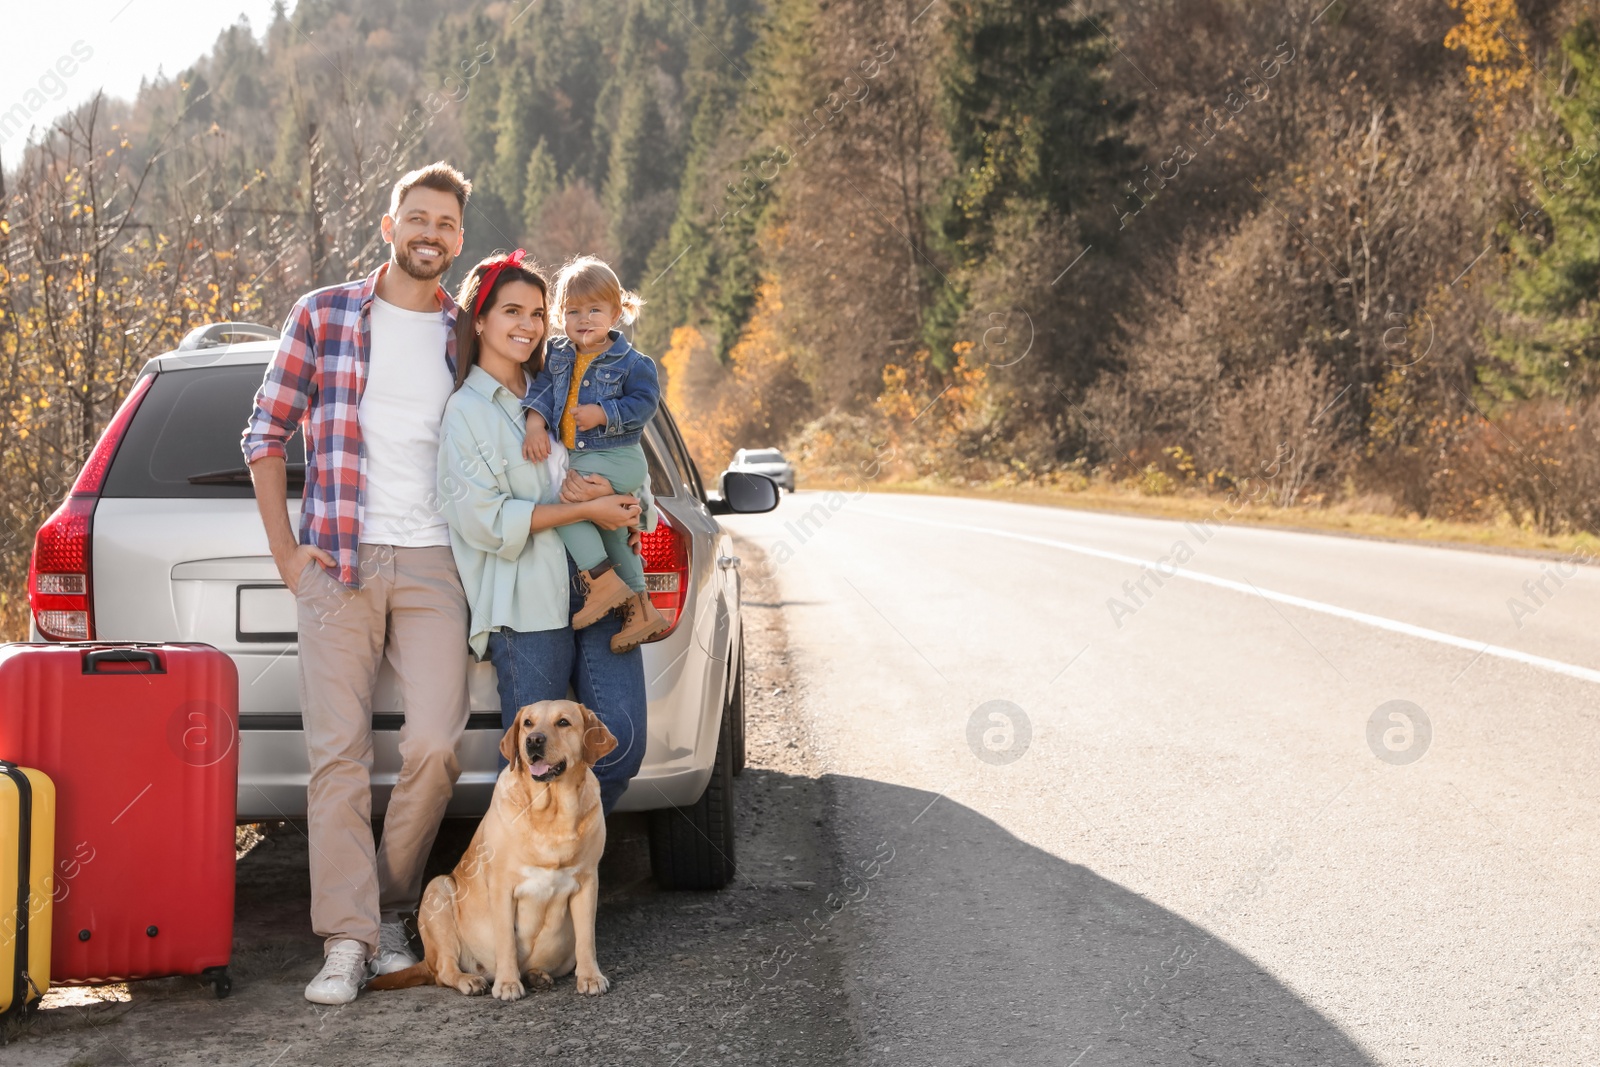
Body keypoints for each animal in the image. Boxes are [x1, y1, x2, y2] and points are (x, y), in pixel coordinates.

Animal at [369, 700, 617, 1004]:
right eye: (528, 723)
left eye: (563, 722)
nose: (533, 740)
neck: (551, 811)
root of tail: (426, 961)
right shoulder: (501, 887)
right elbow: (506, 941)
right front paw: (508, 983)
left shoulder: (587, 882)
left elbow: (586, 940)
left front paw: (590, 977)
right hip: (438, 890)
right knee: (444, 971)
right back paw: (470, 980)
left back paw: (537, 975)